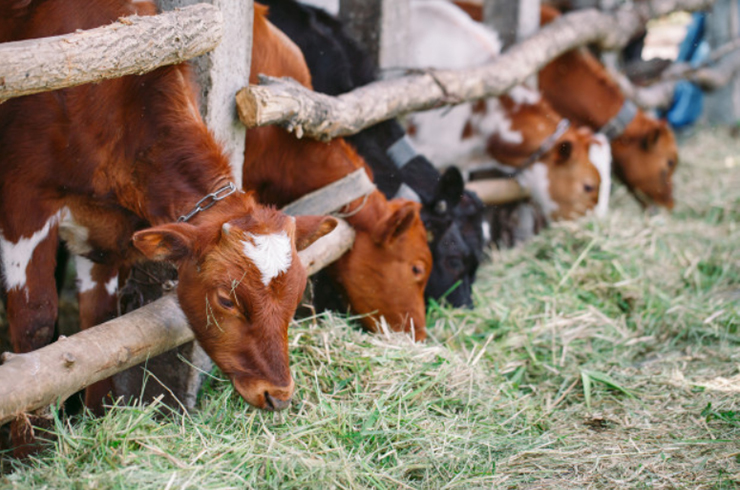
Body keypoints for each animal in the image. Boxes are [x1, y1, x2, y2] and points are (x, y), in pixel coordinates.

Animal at [0, 0, 336, 420]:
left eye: (296, 294)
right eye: (226, 300)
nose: (278, 394)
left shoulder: (105, 237)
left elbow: (99, 329)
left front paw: (96, 418)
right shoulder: (23, 203)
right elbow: (36, 332)